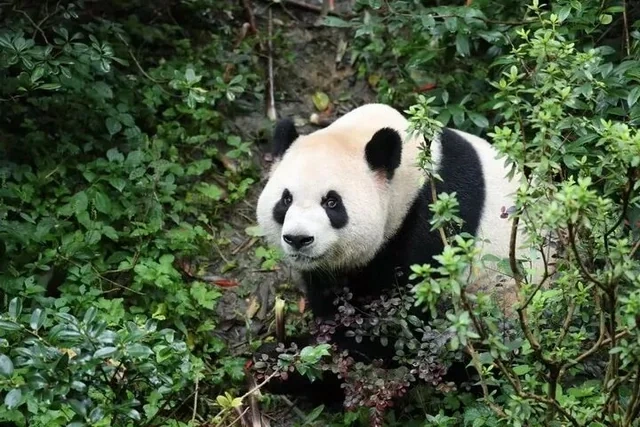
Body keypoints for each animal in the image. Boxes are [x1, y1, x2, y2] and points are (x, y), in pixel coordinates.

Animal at [253, 103, 548, 406]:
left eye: (332, 203)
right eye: (286, 199)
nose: (298, 239)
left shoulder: (433, 224)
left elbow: (395, 330)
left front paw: (293, 366)